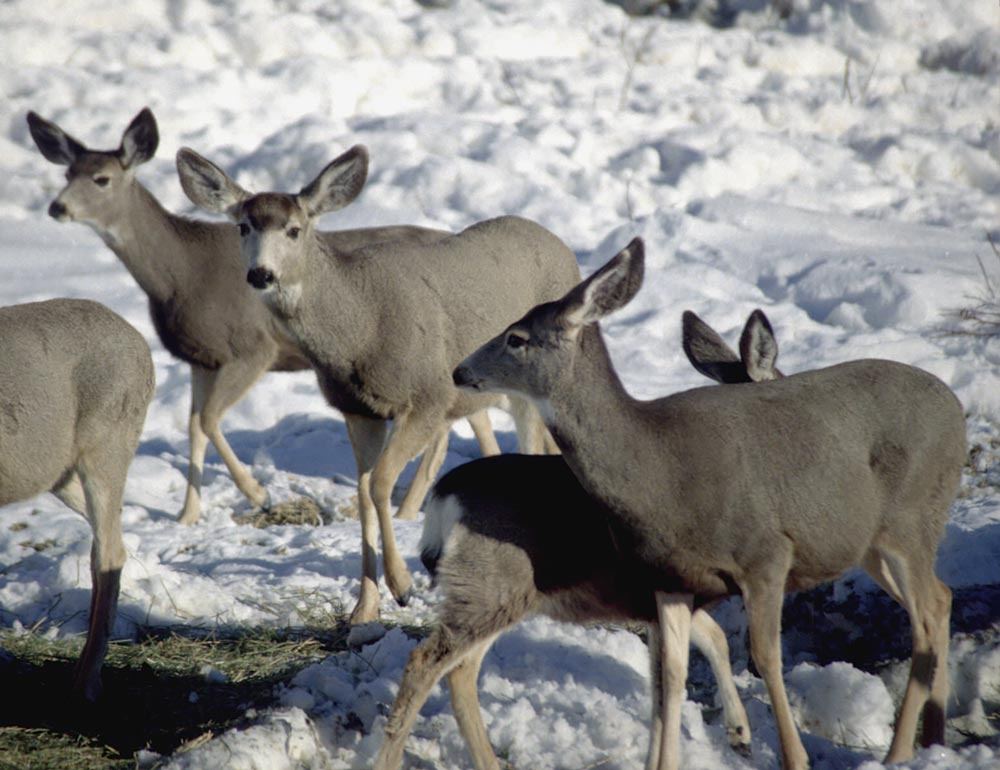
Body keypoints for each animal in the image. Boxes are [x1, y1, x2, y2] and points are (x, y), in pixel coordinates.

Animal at [25, 108, 482, 524]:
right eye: (67, 174)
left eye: (101, 179)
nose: (56, 207)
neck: (179, 275)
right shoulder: (202, 357)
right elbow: (194, 425)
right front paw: (187, 517)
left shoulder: (251, 349)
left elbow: (209, 420)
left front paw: (258, 493)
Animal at [176, 146, 576, 624]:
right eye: (242, 226)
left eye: (294, 229)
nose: (261, 274)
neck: (360, 329)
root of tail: (564, 248)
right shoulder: (357, 409)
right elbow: (364, 492)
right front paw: (364, 608)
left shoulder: (428, 396)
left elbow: (382, 482)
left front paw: (402, 586)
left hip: (533, 386)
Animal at [374, 308, 780, 764]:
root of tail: (446, 494)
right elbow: (696, 655)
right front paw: (736, 732)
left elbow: (698, 649)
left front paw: (739, 731)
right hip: (491, 585)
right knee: (427, 662)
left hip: (495, 591)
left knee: (459, 669)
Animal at [456, 237, 968, 764]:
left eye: (517, 338)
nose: (459, 370)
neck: (657, 470)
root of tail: (956, 409)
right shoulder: (669, 576)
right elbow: (670, 672)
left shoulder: (766, 553)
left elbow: (766, 656)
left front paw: (794, 758)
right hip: (870, 543)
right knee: (940, 599)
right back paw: (932, 738)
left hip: (911, 517)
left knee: (926, 614)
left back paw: (899, 752)